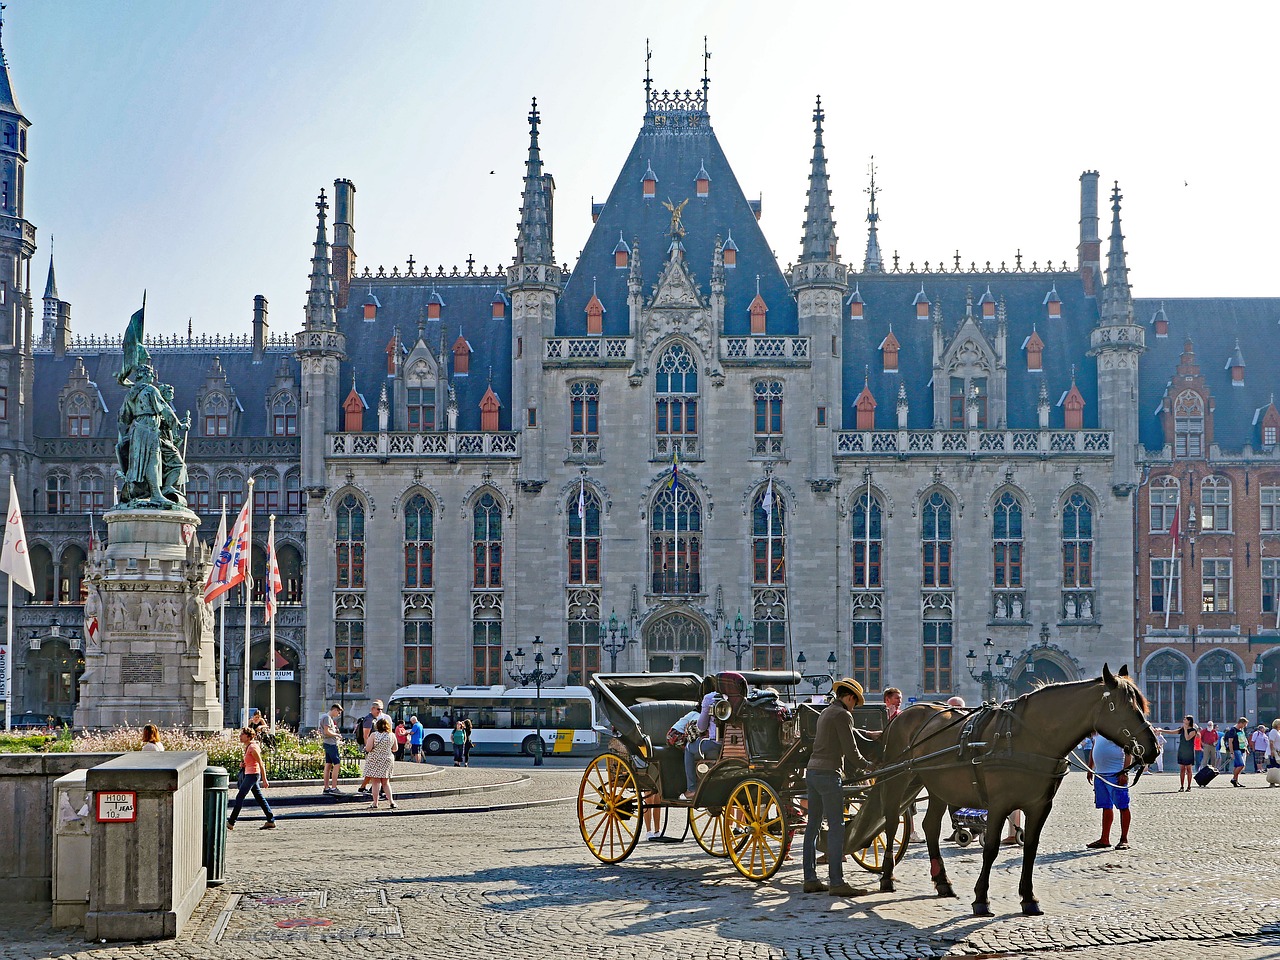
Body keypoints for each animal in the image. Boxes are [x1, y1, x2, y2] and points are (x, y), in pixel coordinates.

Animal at [860, 665, 1162, 921]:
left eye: (1142, 705)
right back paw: (887, 877)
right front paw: (981, 899)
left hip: (936, 785)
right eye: (1122, 706)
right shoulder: (998, 804)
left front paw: (1028, 898)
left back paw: (942, 882)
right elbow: (991, 849)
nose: (1154, 748)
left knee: (930, 826)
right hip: (899, 779)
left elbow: (1030, 847)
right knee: (890, 823)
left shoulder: (1040, 806)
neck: (1028, 737)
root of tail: (903, 715)